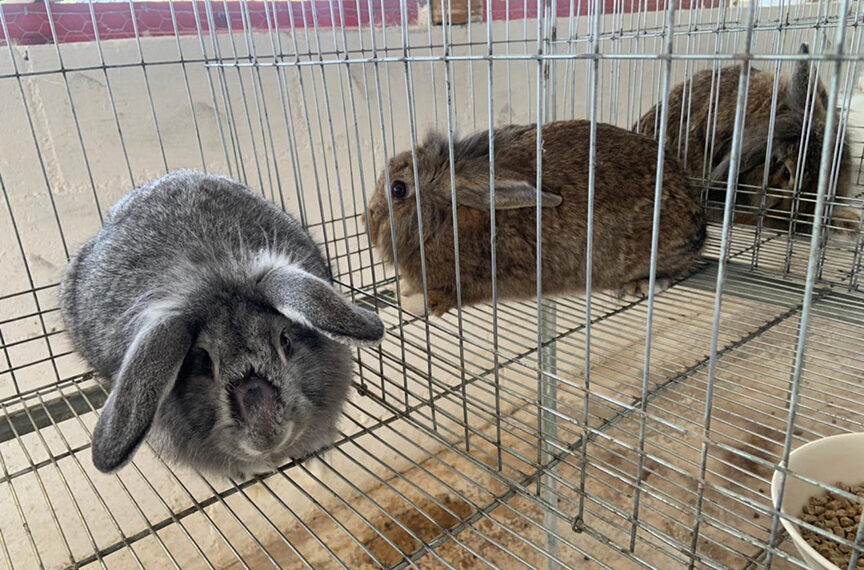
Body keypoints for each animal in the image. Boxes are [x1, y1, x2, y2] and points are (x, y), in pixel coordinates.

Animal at [365, 121, 707, 316]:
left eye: (398, 189)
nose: (367, 224)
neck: (444, 216)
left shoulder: (467, 283)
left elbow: (435, 300)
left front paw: (407, 305)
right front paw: (399, 288)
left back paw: (641, 285)